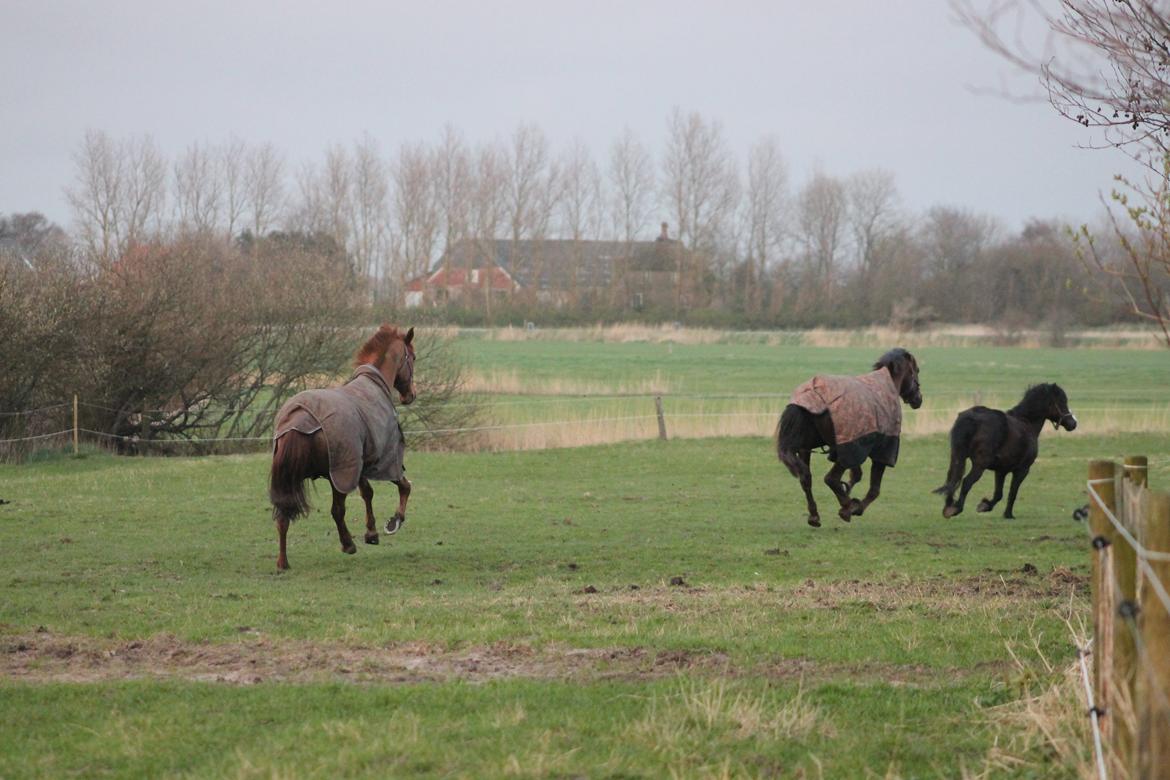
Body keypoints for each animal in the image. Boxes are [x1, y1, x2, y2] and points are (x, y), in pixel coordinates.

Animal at [268, 325, 416, 571]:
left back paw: (282, 562)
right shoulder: (384, 458)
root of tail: (298, 420)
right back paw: (347, 544)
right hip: (339, 474)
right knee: (337, 511)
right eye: (413, 358)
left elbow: (367, 493)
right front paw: (393, 522)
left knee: (283, 515)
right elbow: (404, 486)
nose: (411, 396)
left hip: (293, 480)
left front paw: (372, 532)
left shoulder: (360, 463)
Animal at [776, 348, 922, 527]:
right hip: (842, 449)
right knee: (830, 478)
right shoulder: (879, 451)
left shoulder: (855, 447)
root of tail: (814, 391)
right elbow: (874, 489)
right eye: (916, 370)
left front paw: (846, 490)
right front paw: (855, 507)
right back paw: (848, 507)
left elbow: (857, 474)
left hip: (807, 448)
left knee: (806, 478)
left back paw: (815, 516)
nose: (918, 399)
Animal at [934, 383, 1075, 519]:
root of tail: (972, 418)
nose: (1073, 424)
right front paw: (1008, 514)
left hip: (958, 457)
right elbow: (1012, 492)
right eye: (1062, 401)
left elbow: (999, 494)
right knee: (966, 482)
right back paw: (955, 509)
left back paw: (948, 507)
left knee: (953, 480)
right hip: (979, 465)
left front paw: (985, 506)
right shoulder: (1022, 470)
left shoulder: (1001, 470)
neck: (1027, 423)